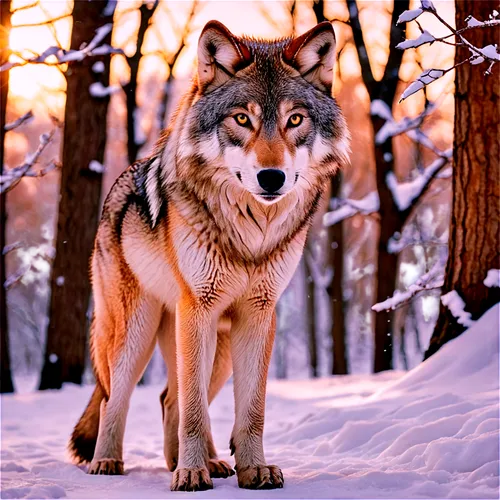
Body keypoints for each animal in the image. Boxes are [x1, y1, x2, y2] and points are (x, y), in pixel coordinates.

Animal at [68, 20, 350, 492]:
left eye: (294, 120)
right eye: (242, 119)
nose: (271, 177)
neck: (251, 234)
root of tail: (117, 187)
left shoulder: (260, 313)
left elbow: (250, 410)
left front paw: (253, 470)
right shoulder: (197, 307)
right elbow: (195, 411)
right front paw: (189, 474)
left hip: (215, 347)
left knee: (169, 398)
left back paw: (203, 462)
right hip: (138, 332)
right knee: (115, 398)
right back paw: (109, 462)